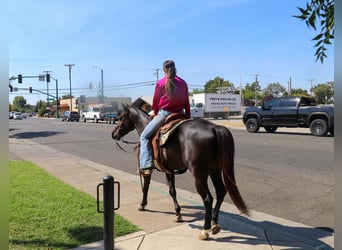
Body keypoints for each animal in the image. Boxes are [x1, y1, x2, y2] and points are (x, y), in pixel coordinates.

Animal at [112, 101, 248, 240]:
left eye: (121, 117)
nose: (114, 134)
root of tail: (214, 128)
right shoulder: (169, 170)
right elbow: (172, 190)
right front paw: (178, 214)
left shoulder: (148, 169)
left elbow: (147, 187)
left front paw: (143, 205)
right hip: (214, 170)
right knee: (220, 192)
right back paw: (215, 223)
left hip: (199, 175)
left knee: (208, 198)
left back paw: (205, 230)